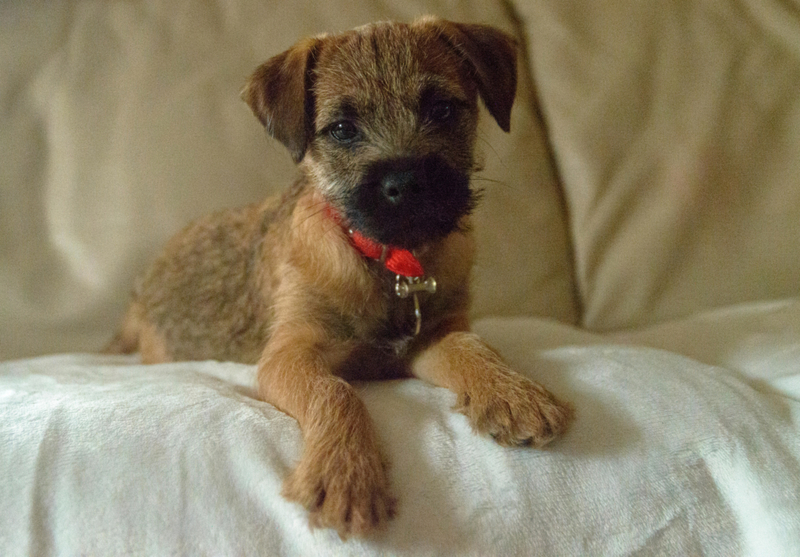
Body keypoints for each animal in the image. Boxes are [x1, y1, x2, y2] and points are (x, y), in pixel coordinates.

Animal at [106, 17, 572, 536]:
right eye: (343, 130)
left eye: (442, 109)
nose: (407, 183)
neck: (391, 264)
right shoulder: (289, 354)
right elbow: (336, 391)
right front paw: (346, 473)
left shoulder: (432, 336)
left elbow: (473, 346)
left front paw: (514, 393)